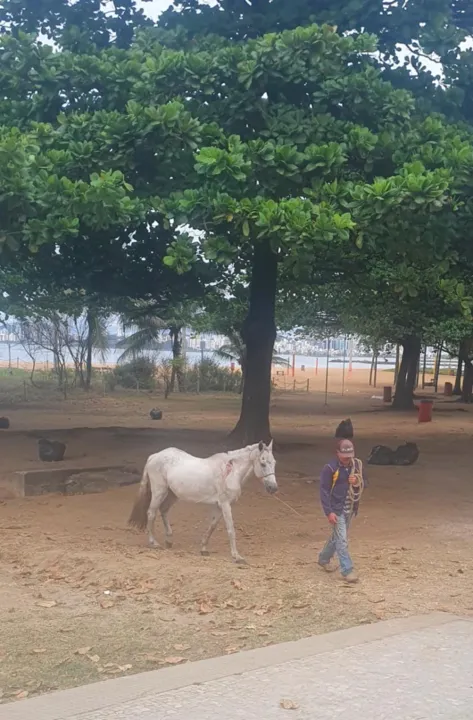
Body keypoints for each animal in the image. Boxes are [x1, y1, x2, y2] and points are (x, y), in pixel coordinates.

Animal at [129, 442, 276, 564]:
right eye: (263, 464)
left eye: (274, 463)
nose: (273, 488)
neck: (230, 473)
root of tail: (154, 456)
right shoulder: (225, 504)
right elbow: (231, 529)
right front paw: (237, 557)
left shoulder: (219, 506)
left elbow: (212, 526)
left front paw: (204, 549)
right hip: (159, 492)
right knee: (151, 513)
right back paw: (154, 543)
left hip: (172, 494)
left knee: (163, 510)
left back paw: (169, 540)